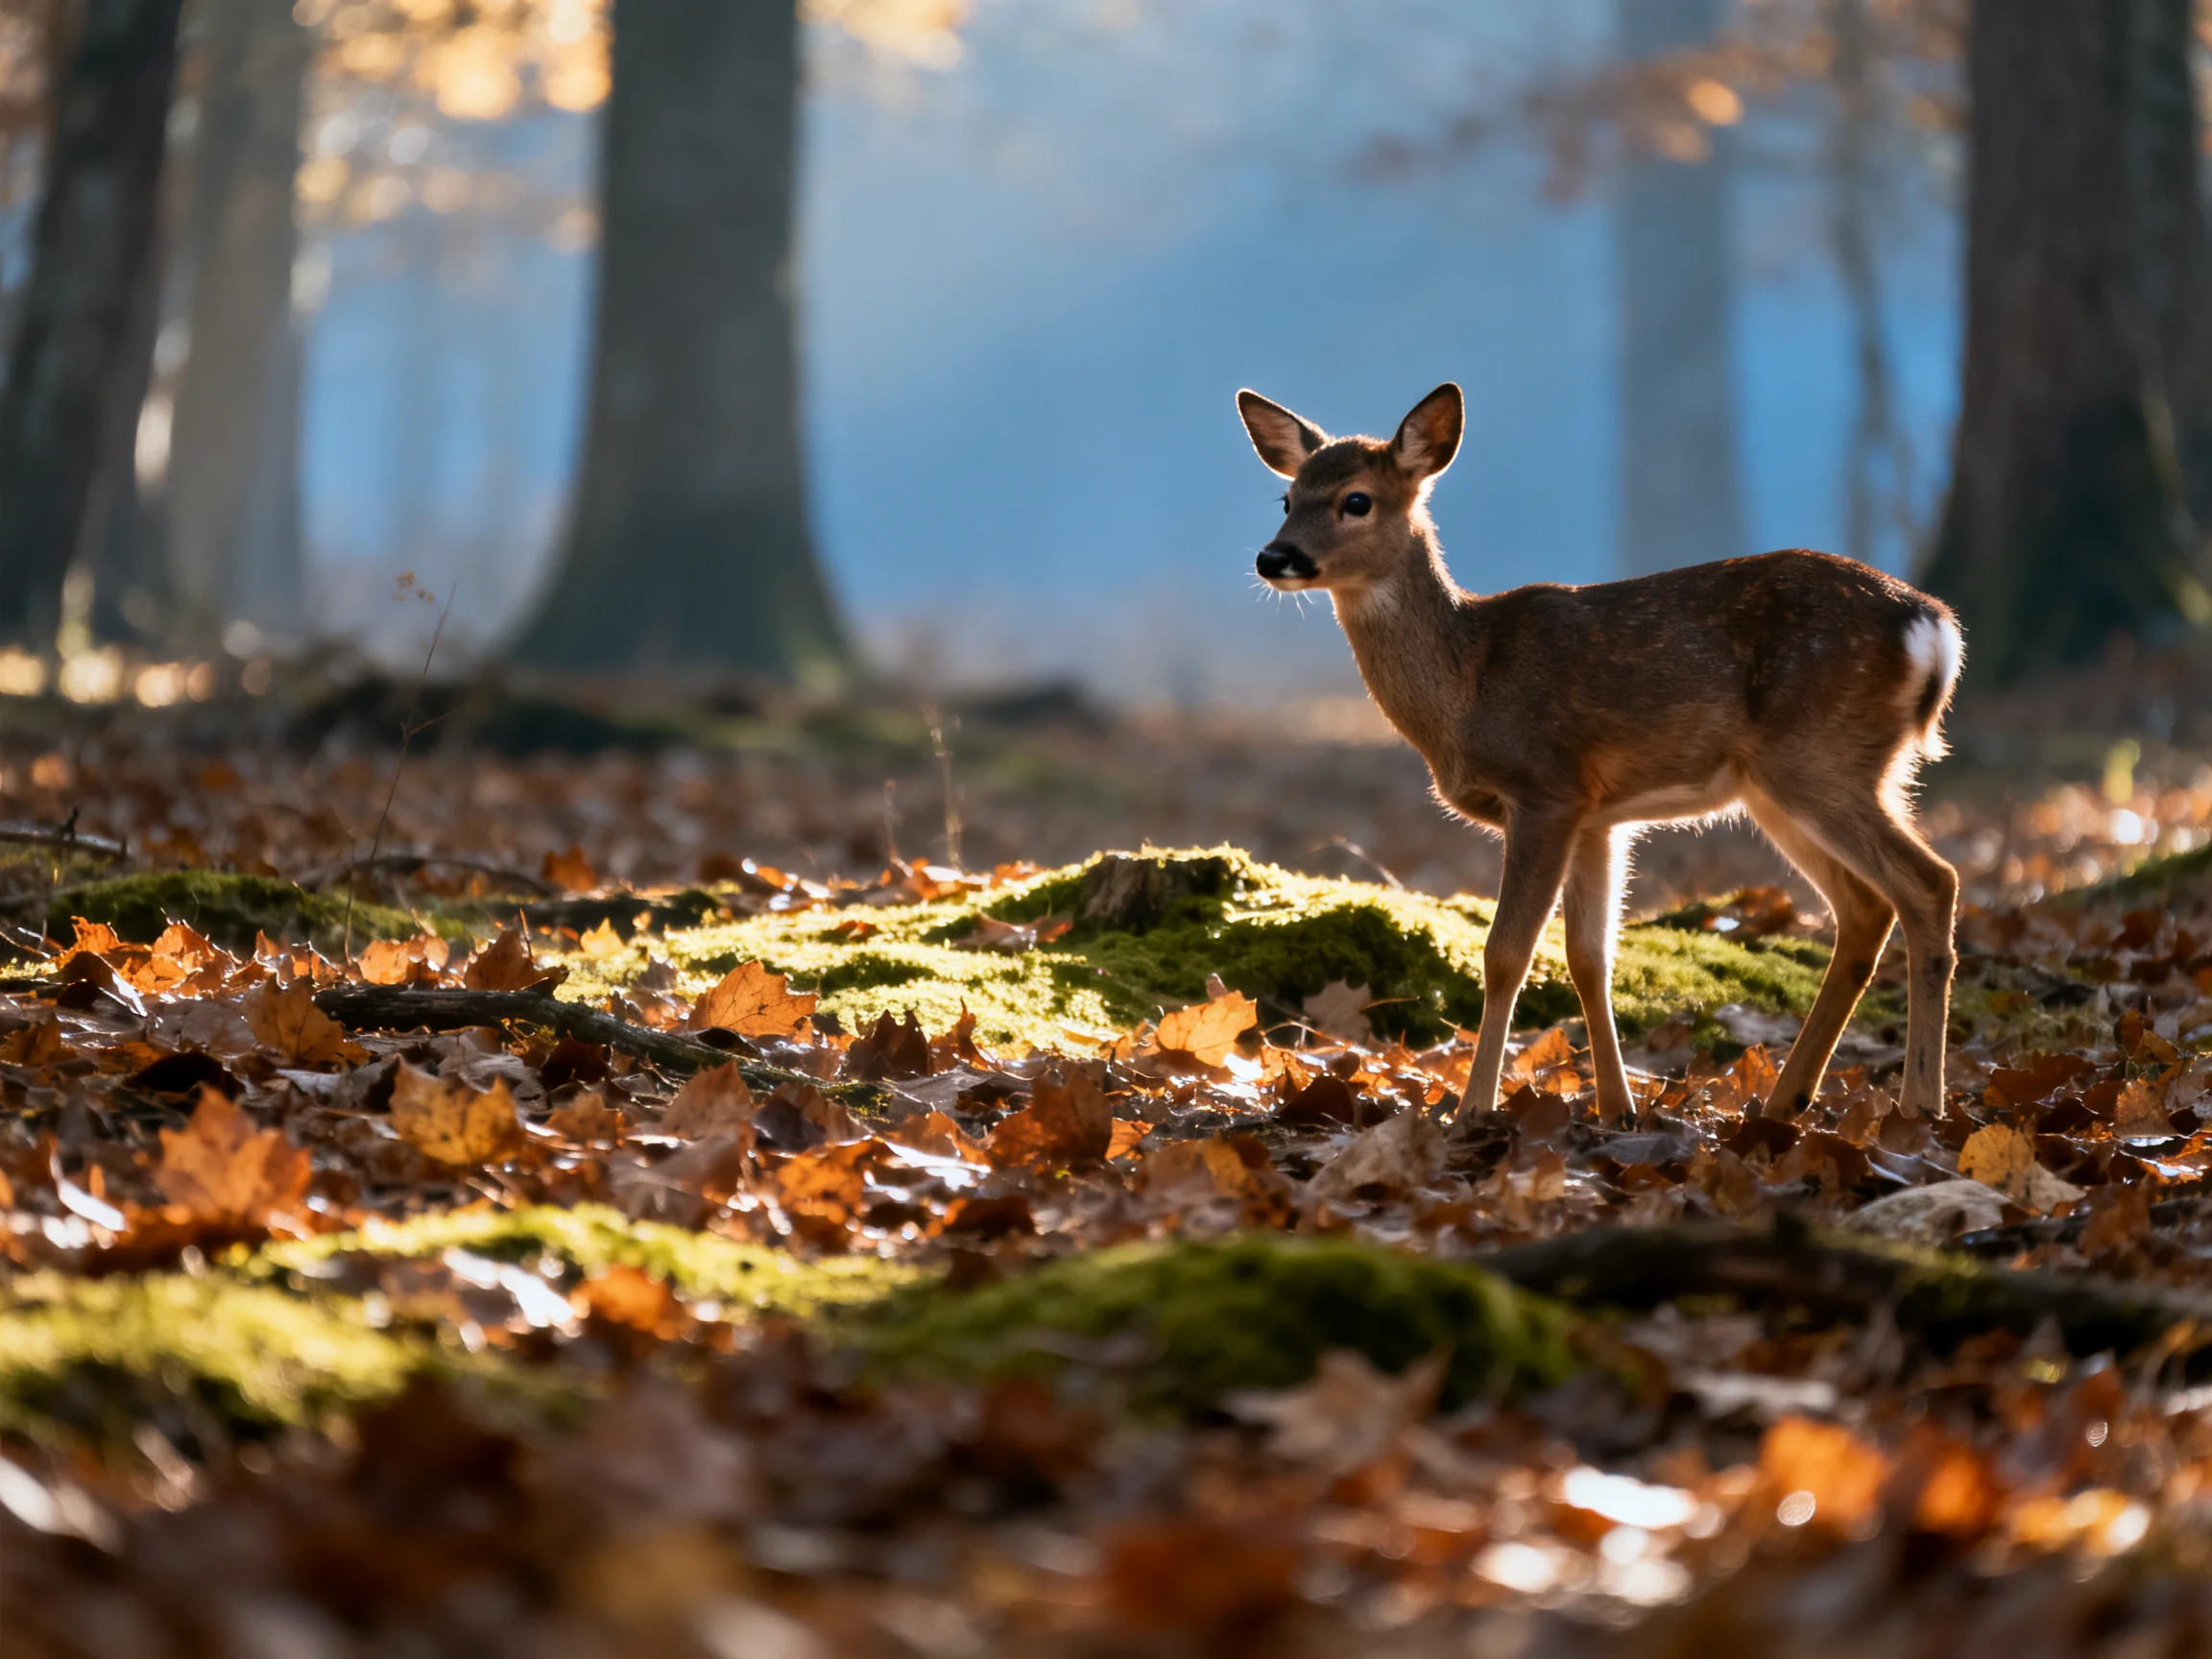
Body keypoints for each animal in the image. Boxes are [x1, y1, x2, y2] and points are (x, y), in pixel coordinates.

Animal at [1237, 382, 1962, 1125]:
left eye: (1356, 499)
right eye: (1287, 498)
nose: (1274, 557)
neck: (1468, 684)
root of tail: (1934, 628)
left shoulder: (1545, 789)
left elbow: (1506, 953)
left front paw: (1473, 1109)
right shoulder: (1599, 817)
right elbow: (1590, 958)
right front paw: (1618, 1107)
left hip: (1821, 758)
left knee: (1931, 883)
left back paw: (1919, 1103)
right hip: (1785, 787)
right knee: (1865, 909)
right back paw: (1787, 1099)